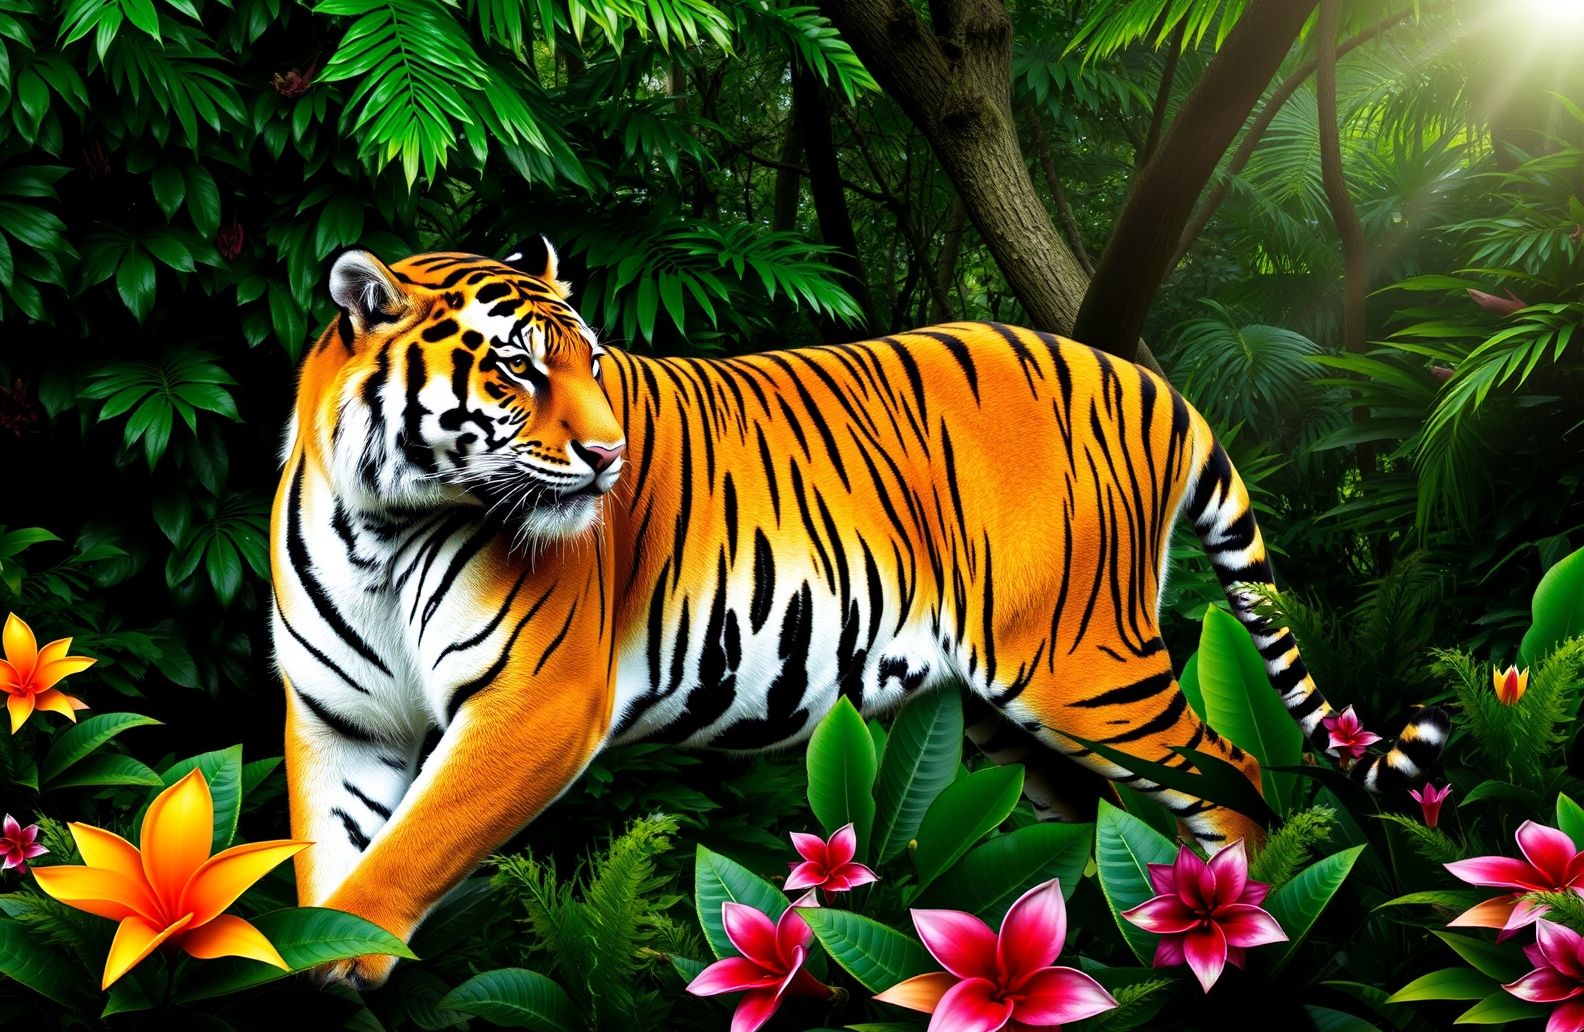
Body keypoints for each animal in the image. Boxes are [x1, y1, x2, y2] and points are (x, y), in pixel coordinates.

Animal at [269, 239, 1448, 988]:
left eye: (594, 363)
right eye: (515, 370)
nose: (609, 456)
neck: (383, 521)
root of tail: (1142, 377)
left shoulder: (535, 703)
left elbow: (414, 845)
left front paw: (350, 955)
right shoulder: (341, 722)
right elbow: (333, 852)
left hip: (1085, 665)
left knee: (1233, 775)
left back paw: (1241, 942)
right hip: (1017, 711)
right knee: (1105, 819)